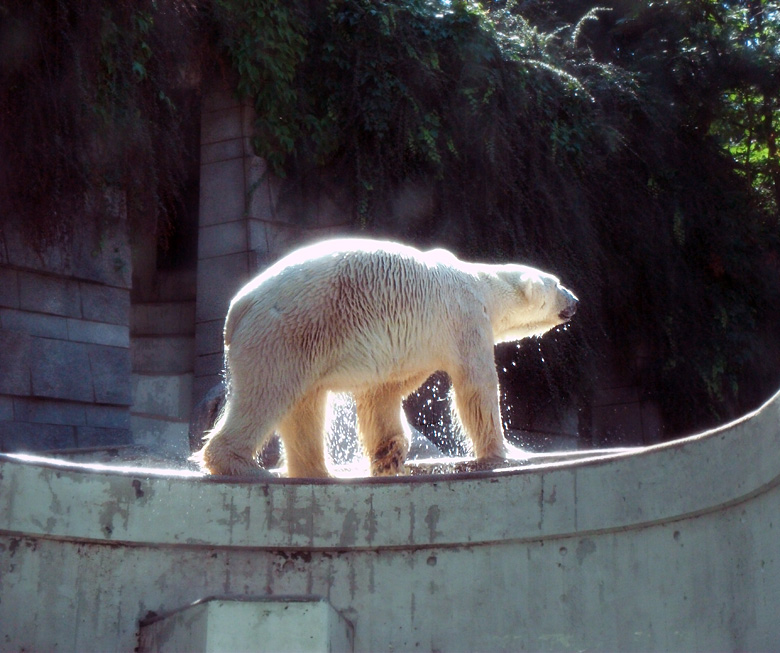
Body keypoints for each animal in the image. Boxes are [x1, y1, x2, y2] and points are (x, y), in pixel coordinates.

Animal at [192, 239, 576, 478]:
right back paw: (243, 465)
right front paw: (508, 453)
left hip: (303, 347)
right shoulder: (466, 319)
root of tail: (239, 306)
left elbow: (382, 394)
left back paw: (318, 472)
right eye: (557, 282)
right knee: (266, 394)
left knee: (305, 406)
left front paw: (388, 456)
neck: (482, 283)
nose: (575, 299)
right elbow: (476, 388)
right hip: (285, 334)